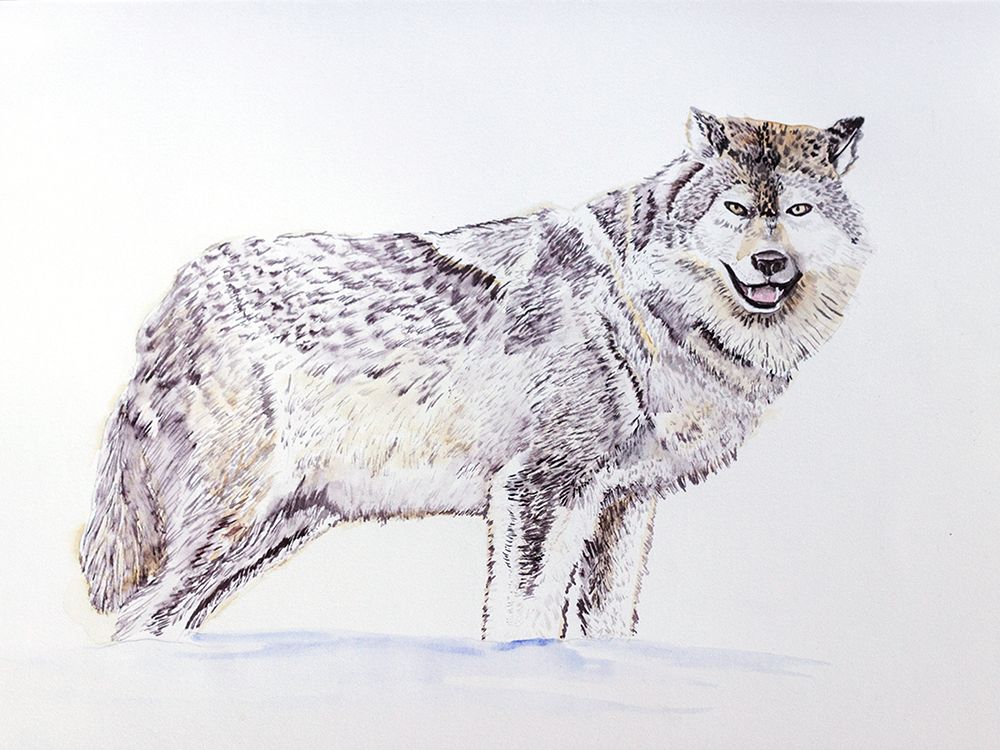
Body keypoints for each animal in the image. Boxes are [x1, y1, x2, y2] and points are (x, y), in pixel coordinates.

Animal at [81, 109, 870, 641]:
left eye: (797, 210)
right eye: (736, 208)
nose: (769, 261)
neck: (653, 312)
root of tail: (174, 296)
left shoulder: (628, 502)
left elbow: (609, 626)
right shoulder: (539, 490)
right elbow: (522, 621)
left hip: (270, 533)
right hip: (235, 524)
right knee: (138, 618)